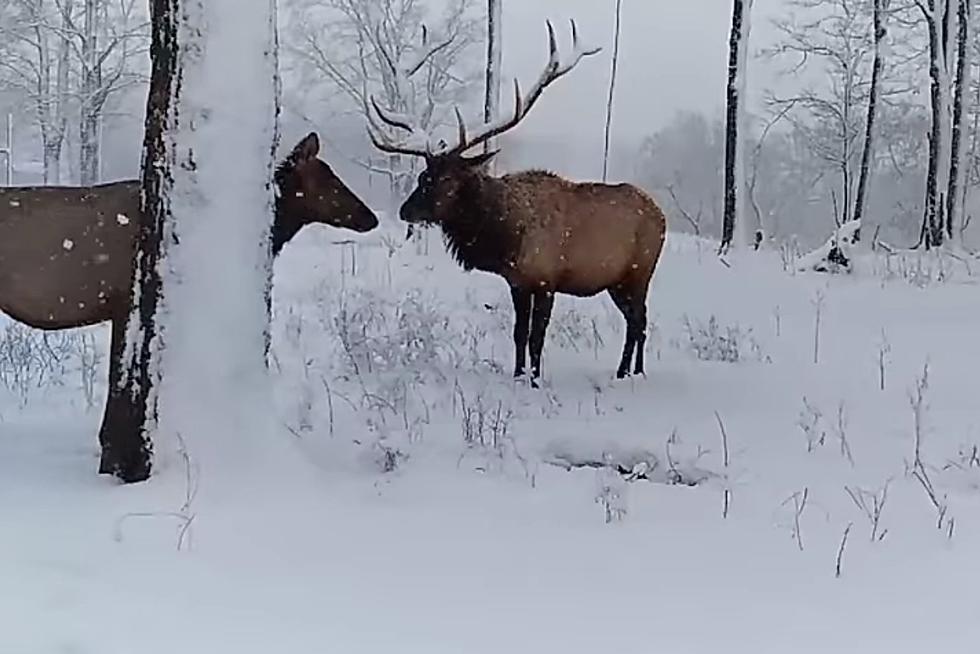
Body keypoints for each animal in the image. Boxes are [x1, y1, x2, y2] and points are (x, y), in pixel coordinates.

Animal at [368, 23, 668, 386]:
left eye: (446, 179)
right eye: (423, 175)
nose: (405, 210)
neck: (505, 235)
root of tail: (661, 215)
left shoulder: (546, 280)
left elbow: (537, 337)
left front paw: (535, 380)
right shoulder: (517, 282)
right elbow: (519, 334)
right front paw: (516, 375)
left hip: (640, 272)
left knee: (638, 322)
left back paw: (627, 373)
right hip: (617, 282)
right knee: (638, 322)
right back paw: (634, 371)